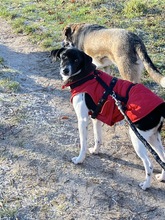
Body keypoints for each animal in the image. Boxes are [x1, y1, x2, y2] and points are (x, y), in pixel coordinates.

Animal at [51, 47, 164, 190]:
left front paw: (80, 159)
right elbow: (98, 138)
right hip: (153, 137)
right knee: (163, 158)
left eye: (76, 60)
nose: (65, 70)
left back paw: (146, 185)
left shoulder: (82, 120)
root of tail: (160, 106)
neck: (85, 76)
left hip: (138, 137)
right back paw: (161, 177)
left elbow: (83, 143)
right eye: (63, 57)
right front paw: (95, 151)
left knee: (149, 165)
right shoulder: (96, 118)